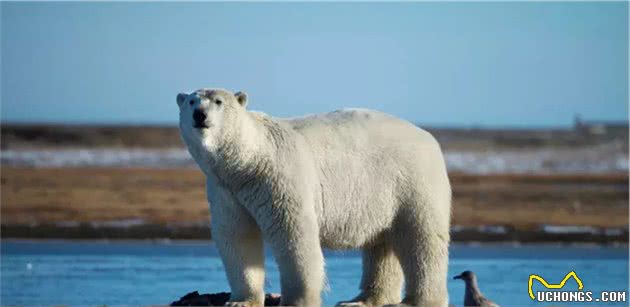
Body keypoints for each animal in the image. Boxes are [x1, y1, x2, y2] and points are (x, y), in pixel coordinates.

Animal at [178, 89, 454, 307]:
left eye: (218, 101)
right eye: (191, 101)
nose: (200, 115)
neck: (249, 161)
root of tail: (429, 138)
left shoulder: (279, 176)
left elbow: (293, 232)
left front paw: (297, 300)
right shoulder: (226, 189)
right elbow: (236, 235)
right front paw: (241, 301)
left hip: (413, 181)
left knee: (422, 238)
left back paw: (417, 301)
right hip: (382, 194)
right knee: (382, 242)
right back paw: (361, 300)